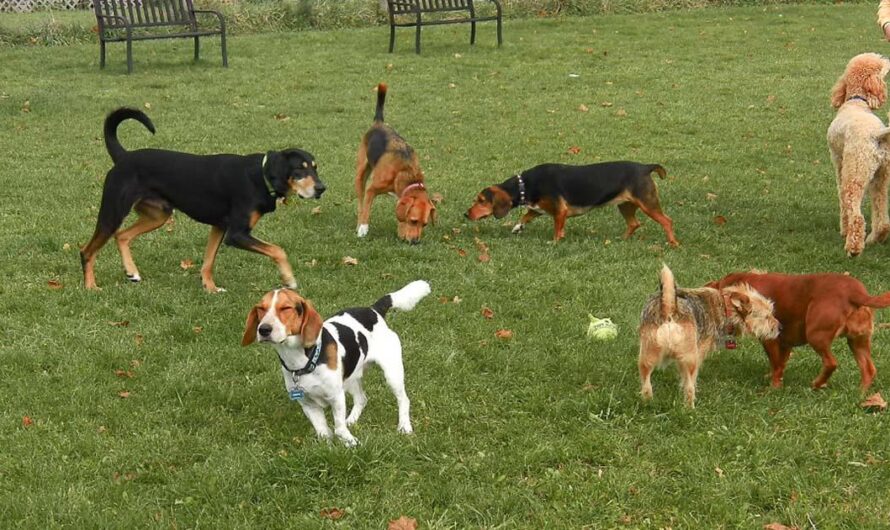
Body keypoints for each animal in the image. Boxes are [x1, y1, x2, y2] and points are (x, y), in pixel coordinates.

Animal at [81, 105, 324, 290]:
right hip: (113, 212)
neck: (260, 175)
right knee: (87, 251)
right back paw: (91, 287)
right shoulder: (236, 234)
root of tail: (124, 157)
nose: (322, 188)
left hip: (158, 215)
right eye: (300, 169)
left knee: (121, 236)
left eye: (315, 167)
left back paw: (131, 271)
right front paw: (289, 280)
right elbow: (278, 250)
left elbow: (208, 262)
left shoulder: (219, 227)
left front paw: (211, 289)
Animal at [239, 278, 426, 444]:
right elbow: (323, 432)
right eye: (260, 309)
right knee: (361, 398)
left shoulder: (336, 397)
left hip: (392, 372)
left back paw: (404, 427)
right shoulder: (307, 404)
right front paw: (329, 446)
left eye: (286, 308)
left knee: (403, 400)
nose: (263, 329)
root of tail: (373, 310)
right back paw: (352, 420)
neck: (302, 360)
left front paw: (351, 443)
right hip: (350, 376)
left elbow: (339, 429)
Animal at [462, 160, 676, 244]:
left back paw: (673, 243)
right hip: (624, 205)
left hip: (647, 204)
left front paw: (555, 242)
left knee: (667, 221)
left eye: (481, 200)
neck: (524, 185)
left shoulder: (560, 211)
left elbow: (557, 229)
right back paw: (620, 239)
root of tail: (645, 167)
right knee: (634, 223)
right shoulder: (538, 208)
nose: (466, 214)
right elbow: (526, 216)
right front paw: (517, 227)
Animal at [708, 272, 888, 388]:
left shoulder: (770, 340)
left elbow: (776, 364)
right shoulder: (785, 343)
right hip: (858, 341)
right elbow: (780, 364)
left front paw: (773, 388)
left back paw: (817, 384)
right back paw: (861, 395)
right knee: (869, 370)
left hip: (816, 336)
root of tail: (856, 293)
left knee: (831, 363)